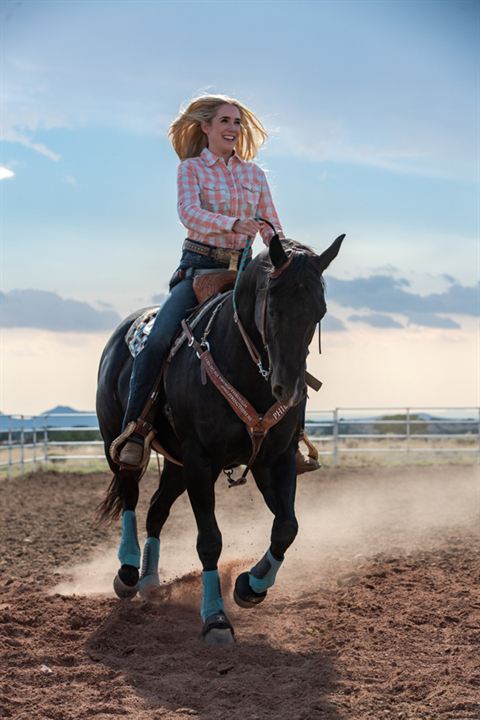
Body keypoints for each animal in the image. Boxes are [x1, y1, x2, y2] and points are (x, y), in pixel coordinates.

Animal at [97, 233, 344, 644]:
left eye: (319, 311)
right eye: (273, 308)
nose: (289, 390)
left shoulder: (275, 460)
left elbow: (287, 527)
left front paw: (250, 586)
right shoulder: (201, 462)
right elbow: (209, 540)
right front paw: (215, 618)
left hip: (177, 465)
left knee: (156, 510)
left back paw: (150, 580)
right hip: (116, 440)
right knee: (131, 494)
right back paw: (129, 573)